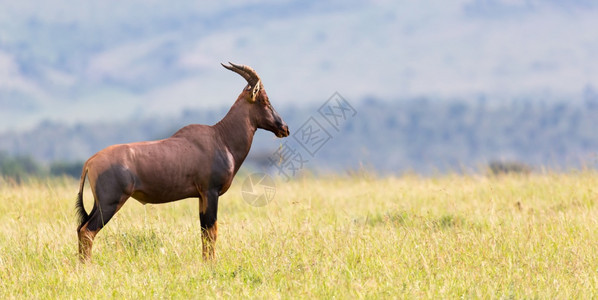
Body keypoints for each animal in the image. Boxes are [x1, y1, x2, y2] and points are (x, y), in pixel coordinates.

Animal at [75, 62, 290, 262]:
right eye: (264, 100)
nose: (284, 128)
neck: (220, 137)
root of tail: (90, 161)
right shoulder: (211, 192)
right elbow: (212, 231)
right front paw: (211, 265)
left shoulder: (201, 196)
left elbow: (204, 232)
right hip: (110, 203)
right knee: (88, 231)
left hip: (99, 203)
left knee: (80, 228)